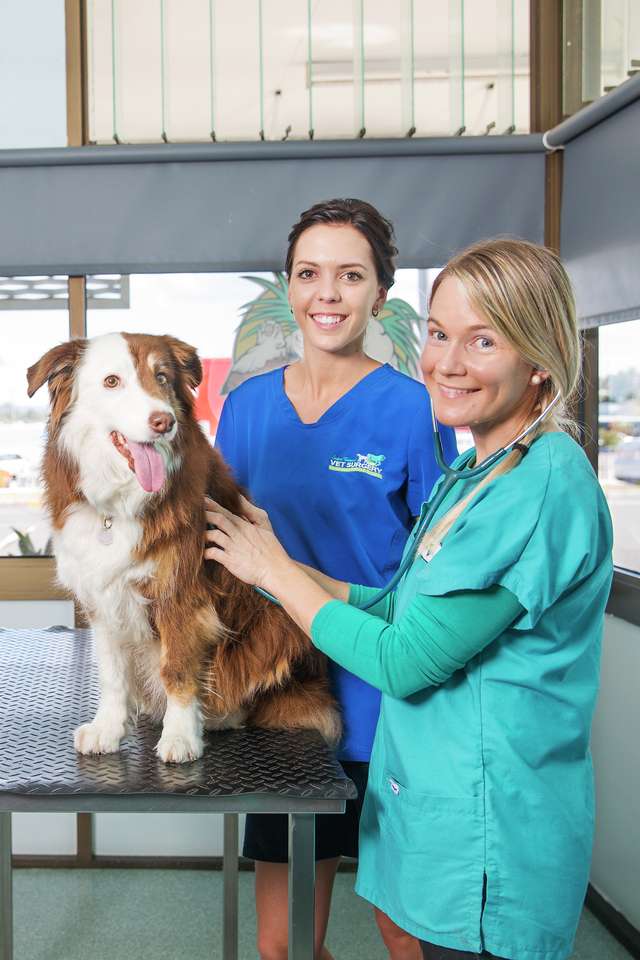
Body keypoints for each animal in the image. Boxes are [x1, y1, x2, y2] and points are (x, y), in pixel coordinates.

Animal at [27, 334, 342, 760]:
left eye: (162, 377)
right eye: (112, 381)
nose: (164, 421)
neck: (121, 503)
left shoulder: (182, 594)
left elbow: (176, 668)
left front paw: (180, 736)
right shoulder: (102, 598)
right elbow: (112, 672)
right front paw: (108, 728)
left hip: (278, 623)